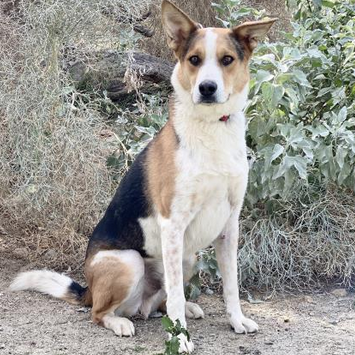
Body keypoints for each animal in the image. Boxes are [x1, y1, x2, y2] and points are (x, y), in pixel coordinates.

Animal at [9, 2, 276, 354]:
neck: (211, 129)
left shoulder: (229, 225)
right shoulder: (172, 225)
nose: (207, 88)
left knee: (160, 302)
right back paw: (120, 322)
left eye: (227, 59)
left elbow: (230, 284)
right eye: (194, 60)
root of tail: (89, 288)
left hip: (188, 257)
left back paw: (181, 308)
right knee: (99, 312)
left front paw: (236, 320)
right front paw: (179, 338)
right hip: (130, 262)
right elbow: (176, 296)